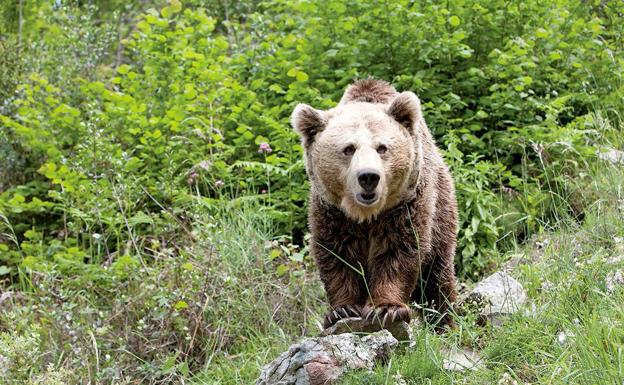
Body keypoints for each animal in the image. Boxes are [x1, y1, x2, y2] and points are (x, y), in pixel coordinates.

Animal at [292, 79, 458, 330]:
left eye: (382, 147)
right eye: (348, 148)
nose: (368, 177)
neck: (367, 215)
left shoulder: (405, 206)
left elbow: (400, 251)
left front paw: (386, 308)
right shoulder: (332, 213)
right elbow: (337, 256)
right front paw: (342, 309)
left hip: (442, 210)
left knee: (436, 278)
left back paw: (444, 322)